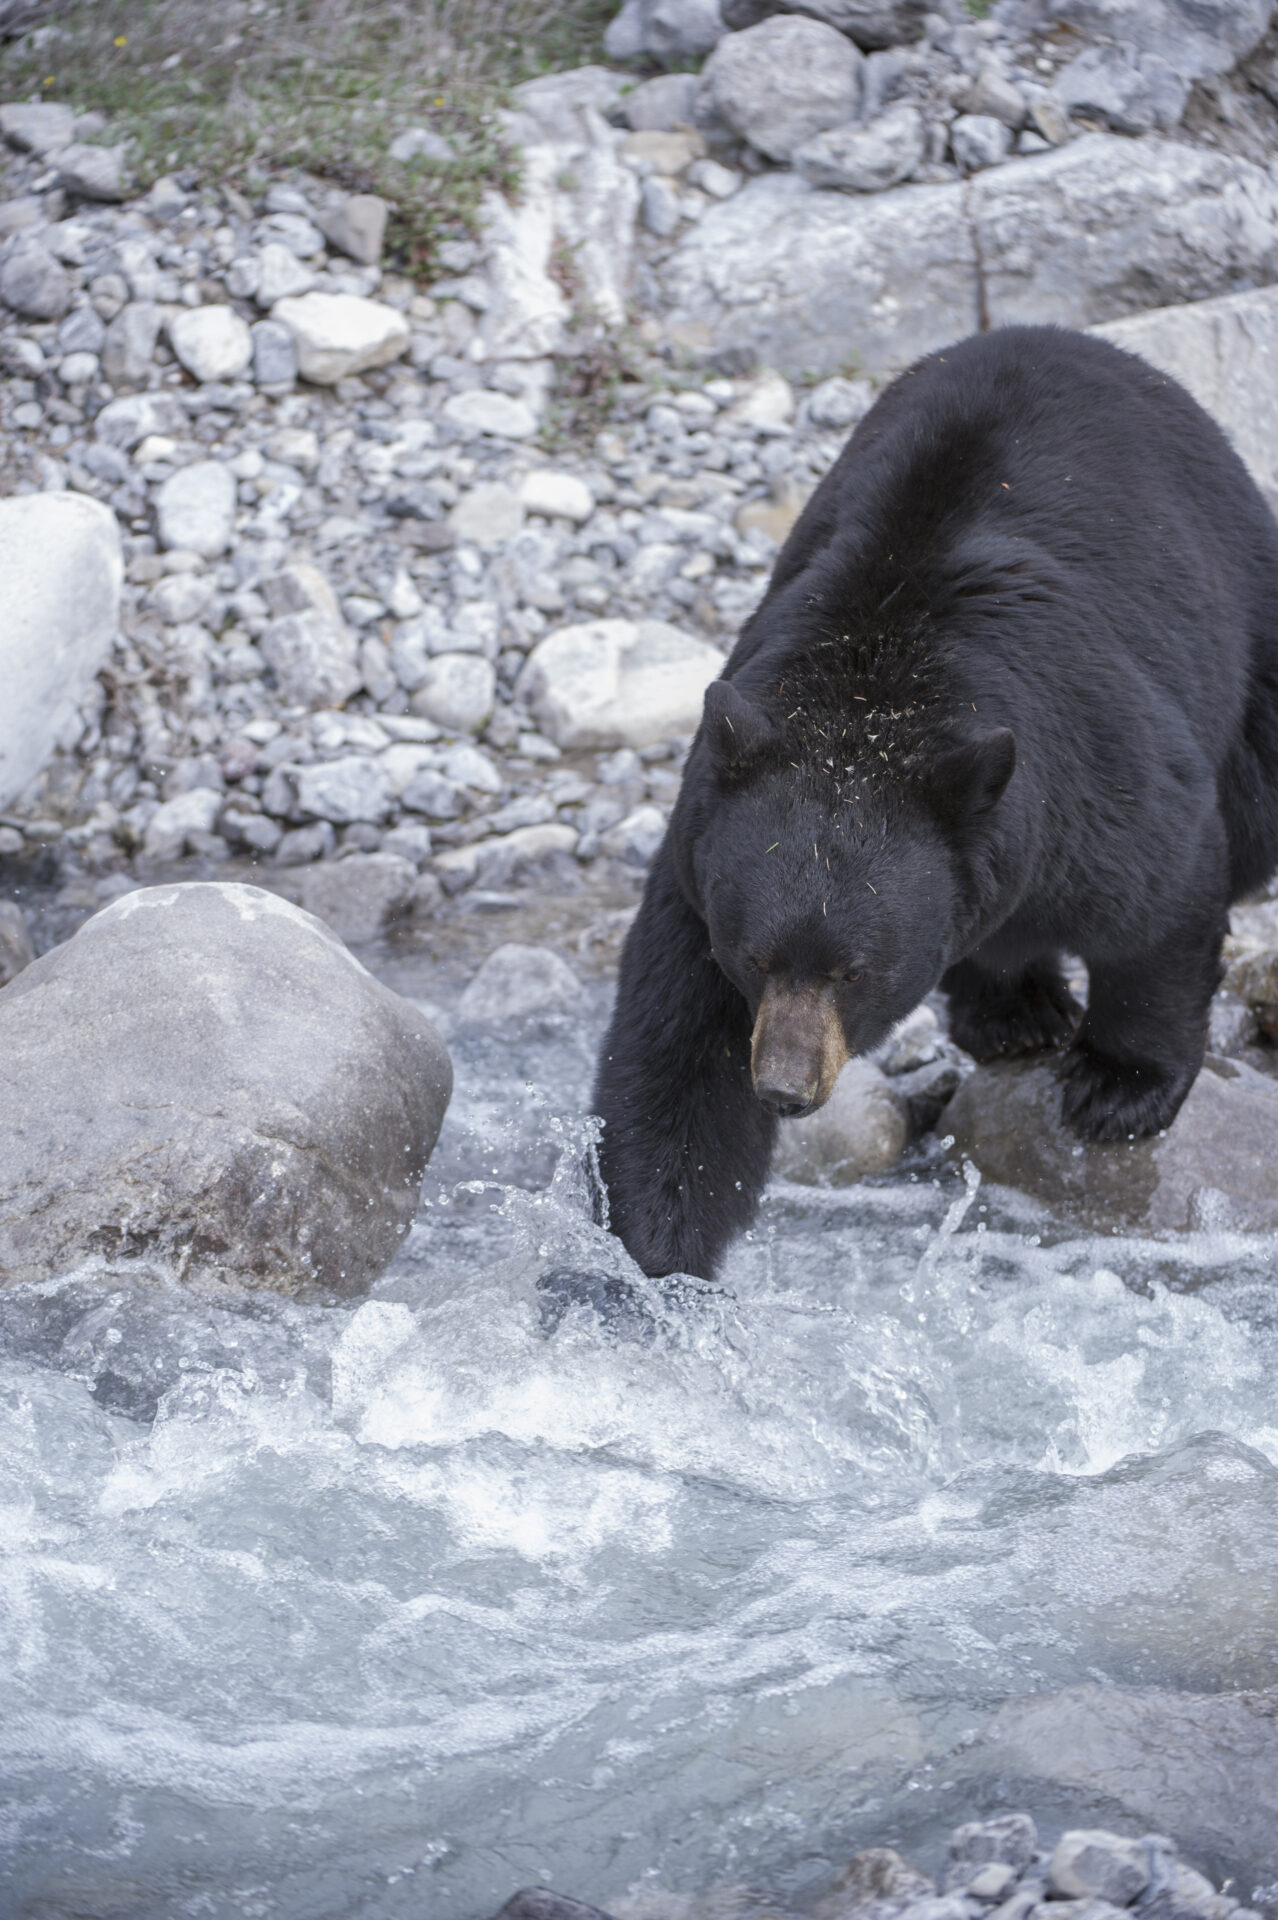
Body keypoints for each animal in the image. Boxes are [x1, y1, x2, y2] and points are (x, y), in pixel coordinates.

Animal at [591, 326, 1274, 1290]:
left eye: (854, 971)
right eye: (756, 957)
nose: (786, 1087)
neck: (872, 700)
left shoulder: (1093, 766)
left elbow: (1161, 896)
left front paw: (1116, 1090)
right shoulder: (705, 852)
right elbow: (681, 1032)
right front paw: (656, 1244)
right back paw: (1012, 1012)